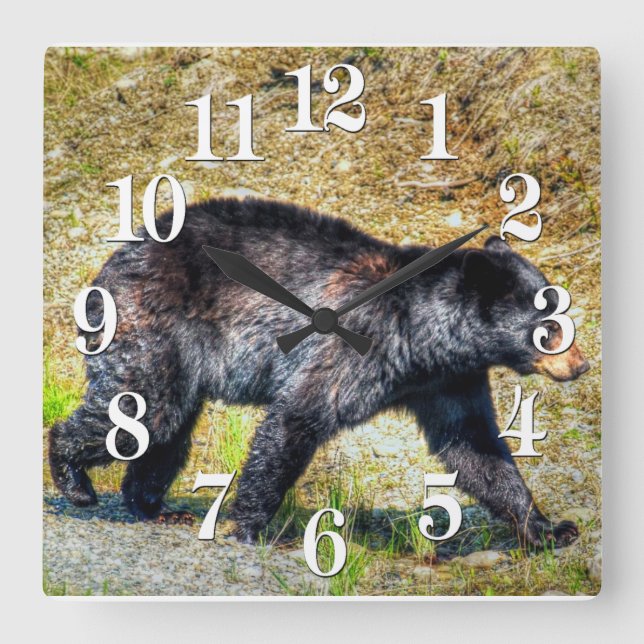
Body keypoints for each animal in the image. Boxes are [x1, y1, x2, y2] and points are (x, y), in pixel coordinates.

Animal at [48, 197, 590, 547]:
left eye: (564, 312)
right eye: (548, 326)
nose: (582, 365)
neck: (423, 337)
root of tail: (115, 259)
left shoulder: (447, 380)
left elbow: (475, 447)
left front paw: (548, 528)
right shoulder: (352, 351)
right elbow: (296, 419)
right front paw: (250, 527)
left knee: (167, 430)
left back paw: (154, 506)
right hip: (154, 329)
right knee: (144, 412)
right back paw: (74, 479)